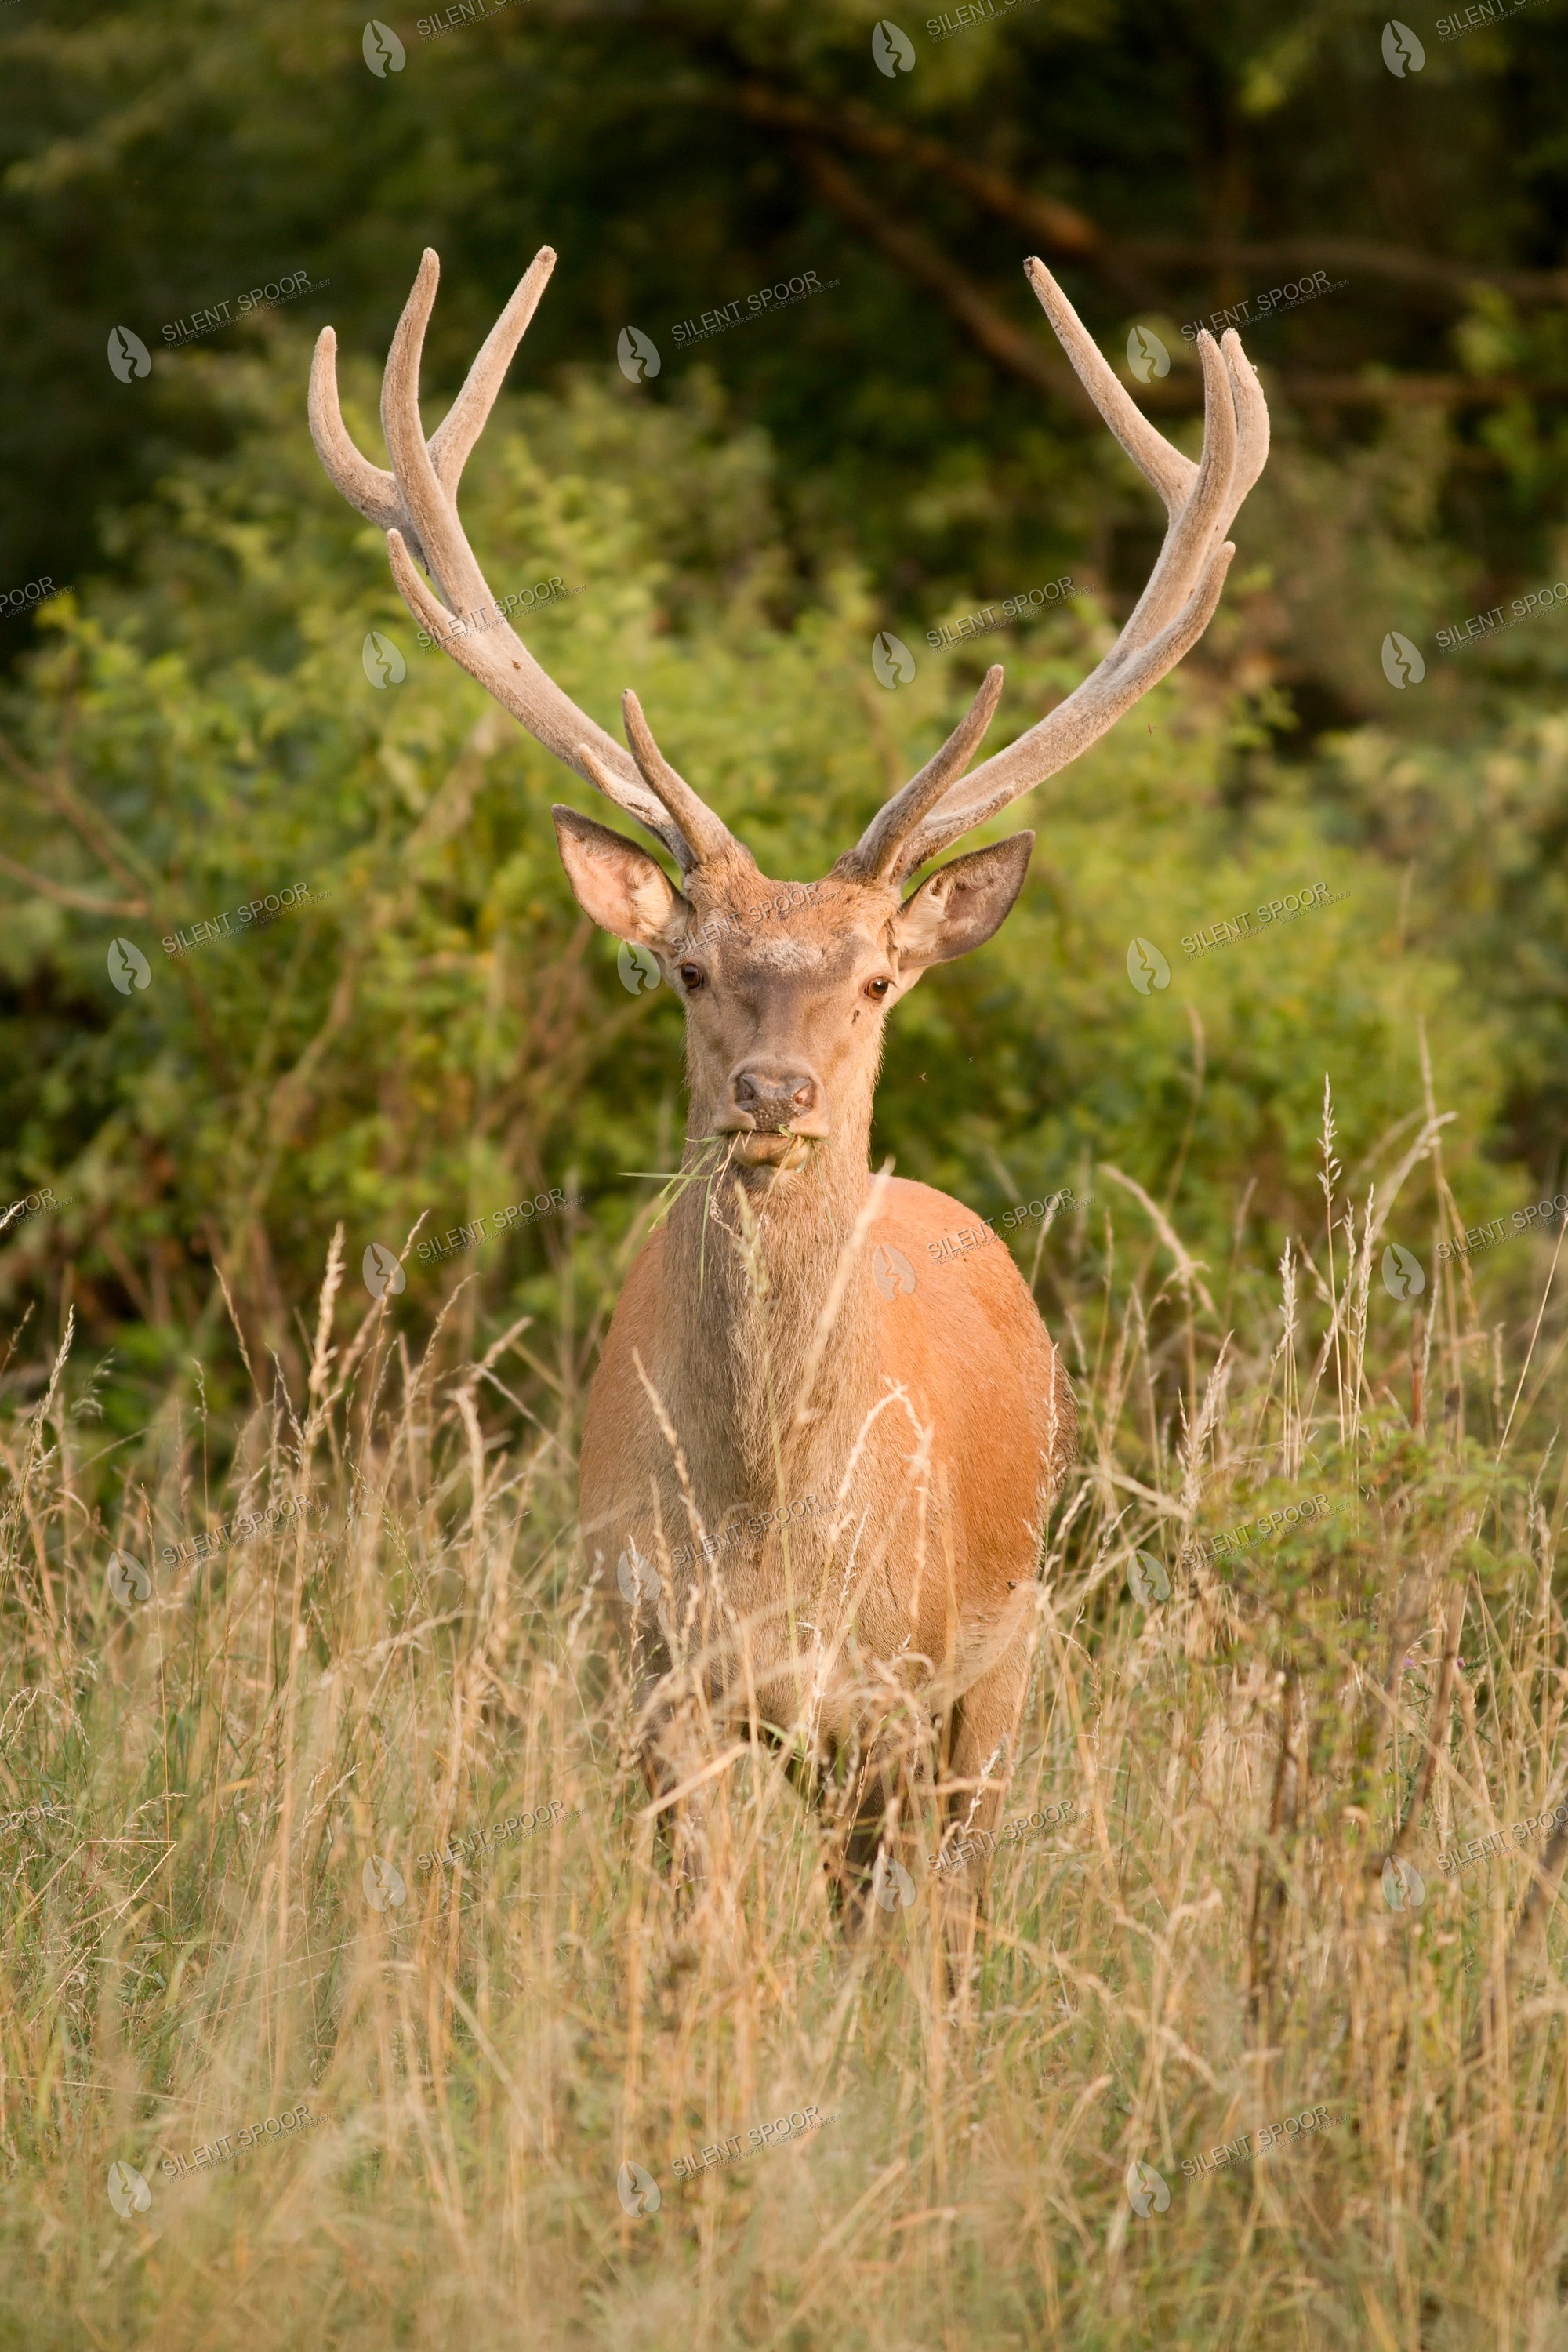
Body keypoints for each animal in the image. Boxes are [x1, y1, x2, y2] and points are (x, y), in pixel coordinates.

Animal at [310, 247, 1268, 1924]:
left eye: (877, 981)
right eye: (691, 969)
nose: (772, 1096)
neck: (767, 1546)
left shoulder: (886, 1687)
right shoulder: (644, 1670)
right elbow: (698, 1929)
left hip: (1010, 1649)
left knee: (958, 1896)